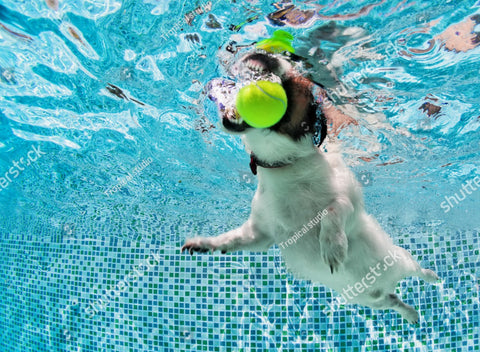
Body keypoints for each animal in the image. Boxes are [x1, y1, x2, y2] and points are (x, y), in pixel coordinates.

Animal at [181, 48, 438, 322]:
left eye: (295, 82)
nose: (263, 55)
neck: (285, 167)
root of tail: (385, 286)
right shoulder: (260, 234)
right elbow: (232, 239)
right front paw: (204, 244)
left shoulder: (347, 204)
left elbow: (331, 210)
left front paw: (333, 246)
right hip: (369, 300)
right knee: (395, 302)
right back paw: (411, 313)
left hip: (401, 258)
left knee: (416, 270)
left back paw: (431, 277)